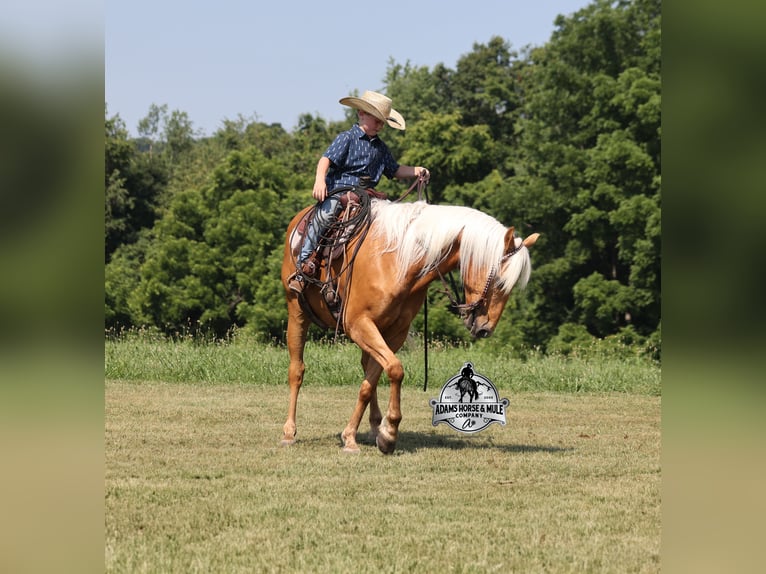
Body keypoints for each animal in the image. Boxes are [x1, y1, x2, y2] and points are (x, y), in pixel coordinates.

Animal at [280, 198, 540, 454]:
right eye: (499, 281)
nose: (485, 329)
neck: (398, 261)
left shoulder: (394, 332)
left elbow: (372, 381)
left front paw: (374, 434)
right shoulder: (358, 324)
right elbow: (394, 369)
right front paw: (384, 433)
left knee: (366, 366)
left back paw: (374, 426)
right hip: (297, 312)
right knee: (297, 370)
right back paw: (289, 432)